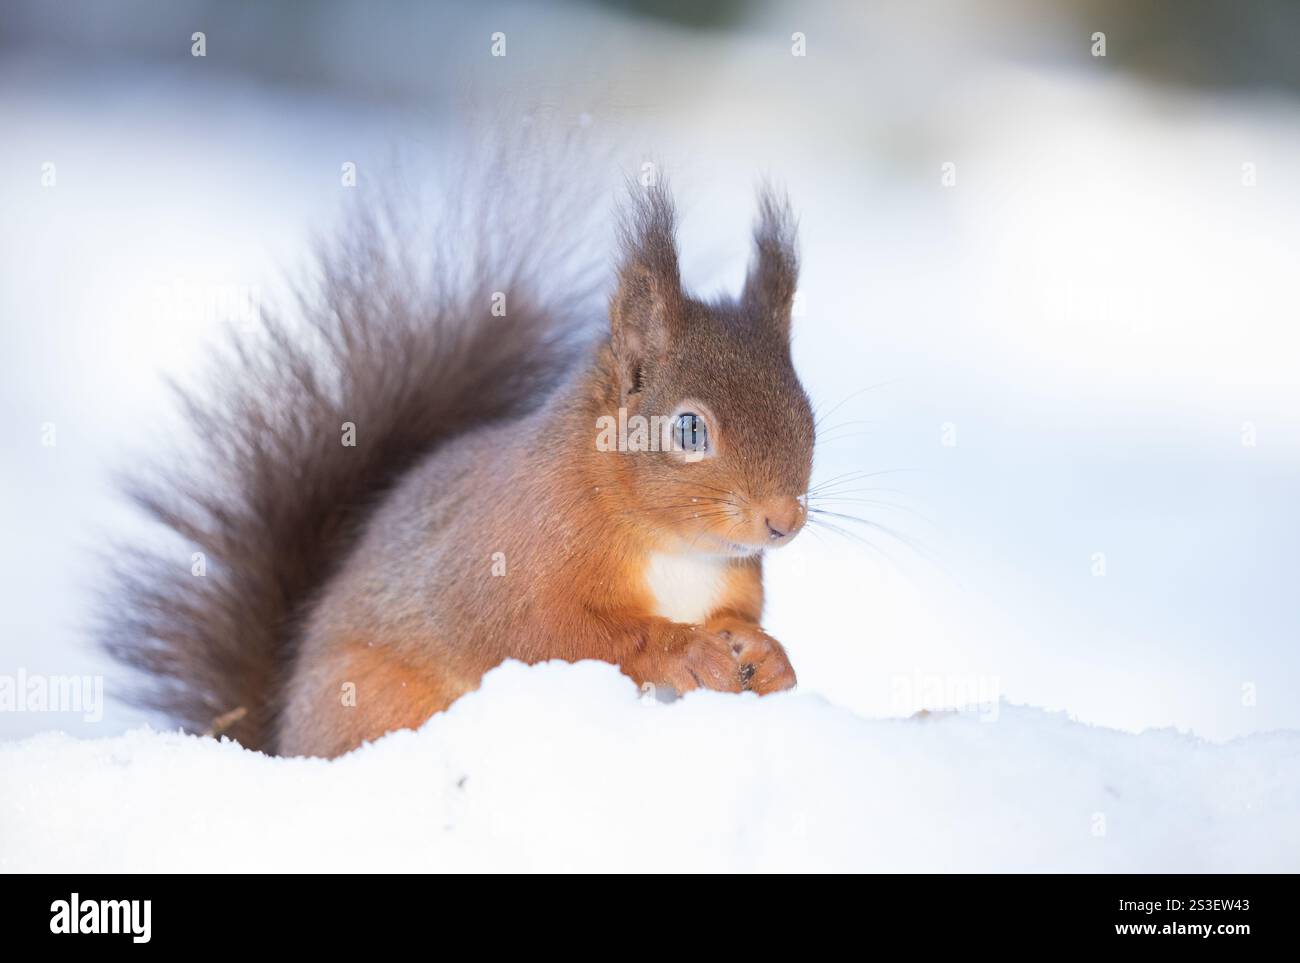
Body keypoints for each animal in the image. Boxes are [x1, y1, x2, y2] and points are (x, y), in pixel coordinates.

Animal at [103, 146, 815, 758]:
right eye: (690, 430)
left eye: (807, 413)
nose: (785, 521)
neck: (677, 549)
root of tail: (278, 744)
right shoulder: (514, 562)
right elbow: (556, 636)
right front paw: (684, 650)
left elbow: (737, 620)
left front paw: (769, 655)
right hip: (374, 699)